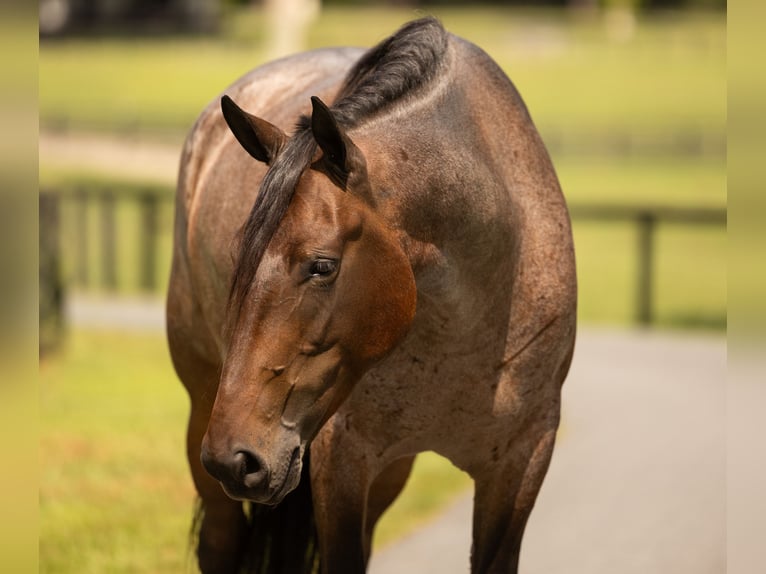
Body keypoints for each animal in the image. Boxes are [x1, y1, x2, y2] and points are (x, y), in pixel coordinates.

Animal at [167, 17, 576, 574]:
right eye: (241, 262)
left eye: (322, 265)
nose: (235, 458)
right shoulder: (341, 461)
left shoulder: (523, 458)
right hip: (203, 412)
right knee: (220, 541)